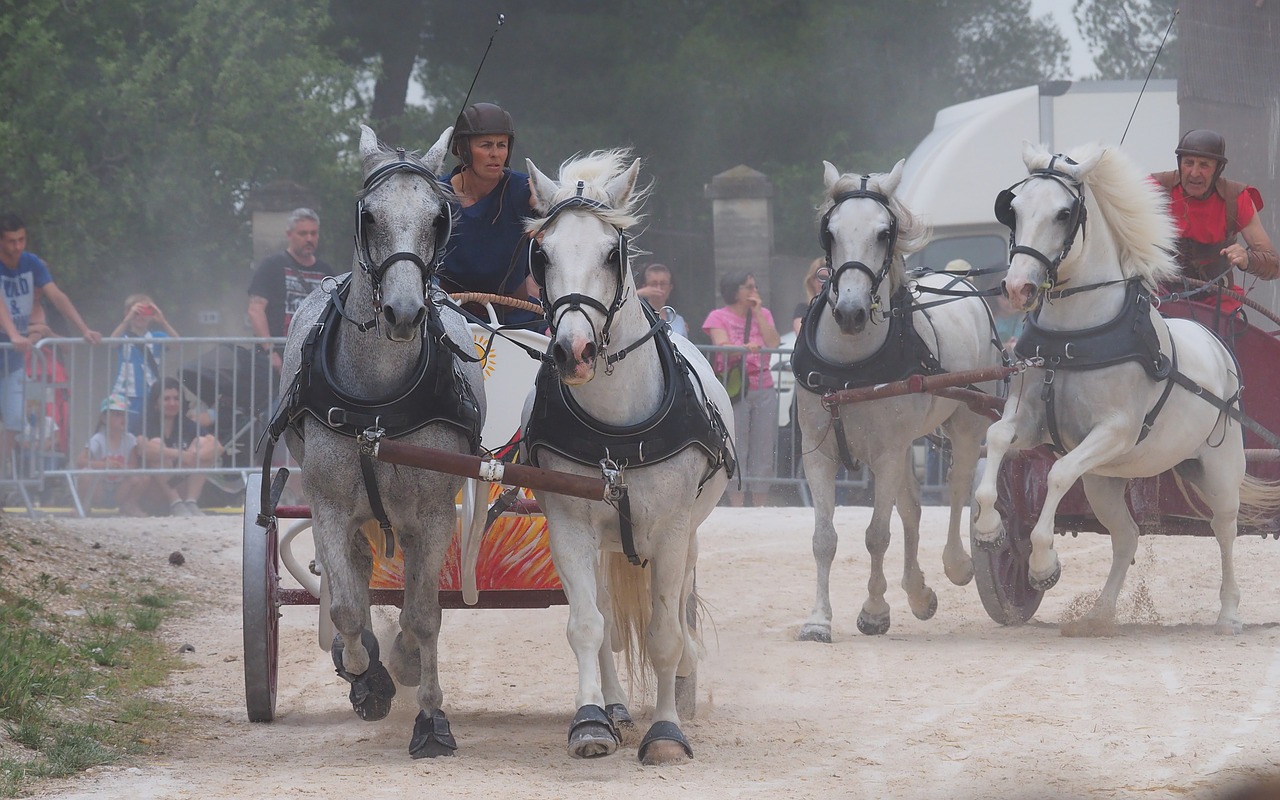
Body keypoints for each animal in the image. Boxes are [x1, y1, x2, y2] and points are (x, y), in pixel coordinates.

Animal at [277, 124, 486, 752]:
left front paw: (431, 716)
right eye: (368, 216)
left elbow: (424, 614)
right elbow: (346, 606)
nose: (404, 311)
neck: (377, 404)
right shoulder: (326, 502)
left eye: (438, 218)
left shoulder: (435, 512)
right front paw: (367, 680)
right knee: (357, 568)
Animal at [519, 148, 737, 762]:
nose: (573, 352)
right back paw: (614, 707)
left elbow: (665, 633)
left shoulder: (671, 530)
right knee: (606, 619)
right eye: (541, 253)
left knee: (676, 613)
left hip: (686, 537)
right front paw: (590, 721)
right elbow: (587, 626)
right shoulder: (568, 525)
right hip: (601, 542)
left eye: (611, 253)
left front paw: (666, 732)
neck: (615, 429)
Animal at [793, 159, 1003, 640]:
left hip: (968, 421)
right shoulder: (818, 451)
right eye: (830, 232)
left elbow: (876, 534)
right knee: (911, 507)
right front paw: (818, 619)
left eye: (883, 233)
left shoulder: (886, 452)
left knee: (958, 485)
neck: (848, 369)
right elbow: (824, 538)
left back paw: (957, 562)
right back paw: (917, 592)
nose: (850, 313)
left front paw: (874, 610)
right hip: (907, 441)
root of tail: (959, 280)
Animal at [967, 140, 1280, 632]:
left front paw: (1042, 564)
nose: (1017, 288)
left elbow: (1057, 474)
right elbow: (997, 440)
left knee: (1224, 529)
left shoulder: (1115, 431)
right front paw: (989, 528)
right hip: (1106, 480)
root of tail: (1214, 341)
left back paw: (1229, 613)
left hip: (1221, 464)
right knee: (1127, 536)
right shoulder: (1032, 421)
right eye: (1012, 208)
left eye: (1064, 214)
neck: (1073, 341)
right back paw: (1099, 614)